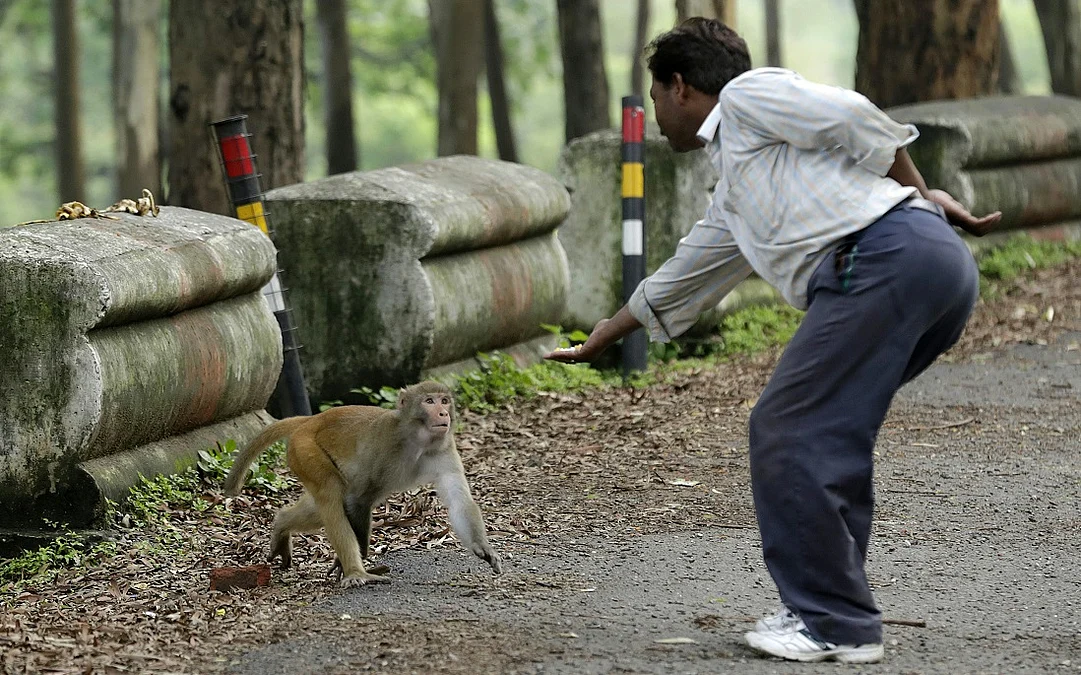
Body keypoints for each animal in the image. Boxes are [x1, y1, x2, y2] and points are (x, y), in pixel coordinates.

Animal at [223, 380, 502, 587]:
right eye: (429, 401)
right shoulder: (383, 446)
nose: (443, 413)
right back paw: (356, 571)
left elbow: (459, 502)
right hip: (305, 450)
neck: (417, 441)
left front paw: (481, 546)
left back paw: (281, 525)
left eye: (445, 401)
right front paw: (349, 562)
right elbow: (358, 498)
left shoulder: (444, 448)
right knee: (331, 495)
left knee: (318, 507)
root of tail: (311, 420)